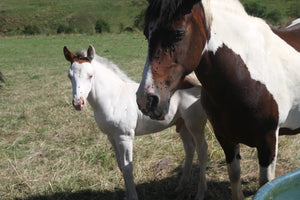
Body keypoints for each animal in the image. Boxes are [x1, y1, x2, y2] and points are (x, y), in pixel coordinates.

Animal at [63, 45, 209, 200]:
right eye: (69, 76)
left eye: (91, 75)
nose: (78, 103)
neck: (114, 98)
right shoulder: (111, 137)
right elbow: (121, 165)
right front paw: (127, 195)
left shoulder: (124, 137)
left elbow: (128, 167)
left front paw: (132, 196)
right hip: (182, 125)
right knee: (189, 149)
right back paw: (181, 186)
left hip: (195, 126)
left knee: (202, 151)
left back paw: (200, 193)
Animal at [136, 0, 300, 199]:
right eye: (147, 33)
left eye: (178, 33)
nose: (147, 100)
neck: (246, 73)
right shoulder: (225, 137)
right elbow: (234, 175)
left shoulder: (267, 139)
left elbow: (265, 183)